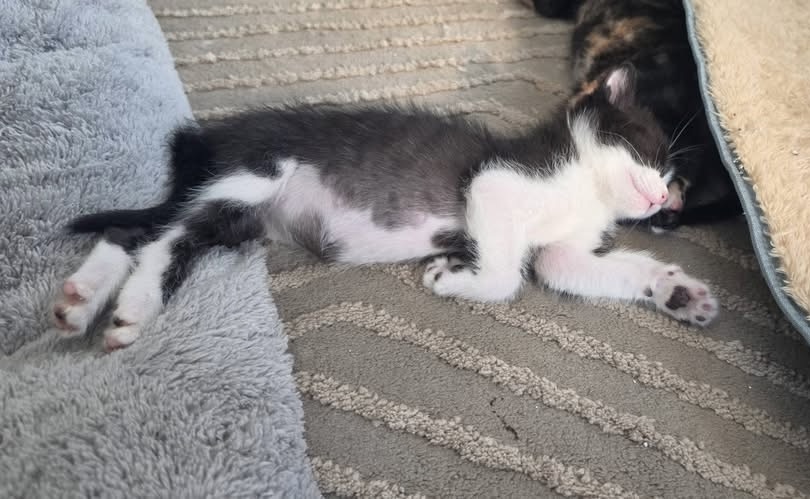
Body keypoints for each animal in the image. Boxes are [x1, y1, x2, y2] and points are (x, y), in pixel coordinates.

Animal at [52, 65, 717, 352]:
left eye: (671, 178)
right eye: (653, 154)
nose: (661, 197)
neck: (583, 185)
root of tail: (207, 139)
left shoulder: (561, 250)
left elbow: (576, 267)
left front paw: (676, 290)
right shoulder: (496, 182)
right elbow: (505, 277)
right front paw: (451, 276)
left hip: (238, 219)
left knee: (137, 231)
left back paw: (83, 303)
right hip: (255, 171)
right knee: (164, 235)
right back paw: (133, 305)